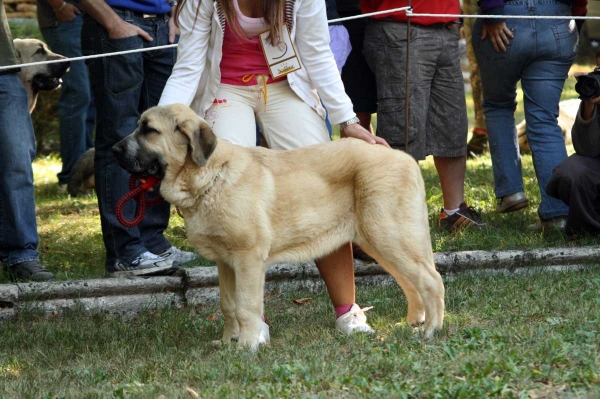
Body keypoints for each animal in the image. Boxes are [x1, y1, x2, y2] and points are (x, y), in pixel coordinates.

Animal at [112, 104, 446, 350]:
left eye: (149, 130)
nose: (113, 150)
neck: (210, 177)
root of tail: (403, 157)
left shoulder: (247, 259)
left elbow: (245, 306)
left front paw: (246, 346)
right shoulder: (225, 263)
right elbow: (228, 304)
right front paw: (227, 342)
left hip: (390, 235)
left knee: (431, 280)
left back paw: (430, 330)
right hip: (382, 242)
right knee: (411, 282)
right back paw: (412, 323)